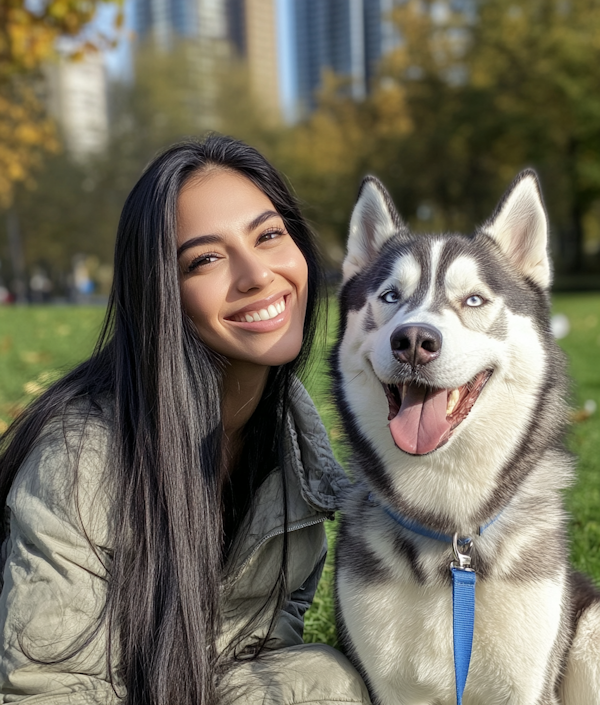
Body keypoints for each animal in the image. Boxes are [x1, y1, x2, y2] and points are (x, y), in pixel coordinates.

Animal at [332, 172, 600, 704]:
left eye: (474, 299)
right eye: (390, 296)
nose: (414, 341)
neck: (450, 534)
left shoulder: (527, 686)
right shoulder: (389, 686)